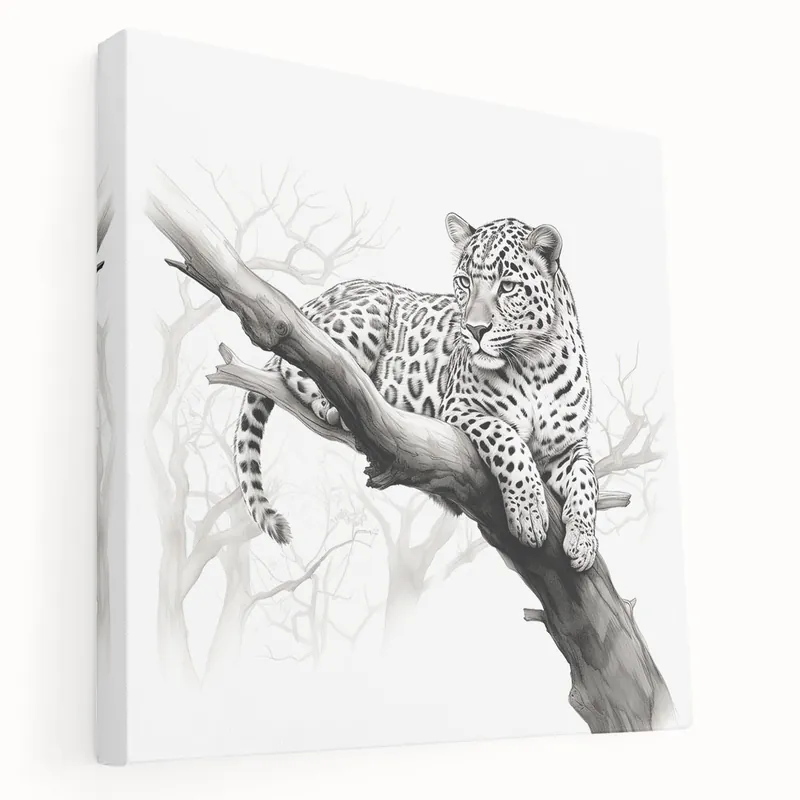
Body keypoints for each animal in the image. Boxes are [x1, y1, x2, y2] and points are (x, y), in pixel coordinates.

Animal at [234, 214, 598, 571]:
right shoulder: (460, 408)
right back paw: (336, 402)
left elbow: (587, 479)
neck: (537, 365)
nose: (474, 330)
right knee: (303, 359)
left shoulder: (568, 445)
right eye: (464, 282)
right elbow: (507, 439)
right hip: (362, 318)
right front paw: (529, 512)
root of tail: (326, 294)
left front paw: (583, 541)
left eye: (507, 286)